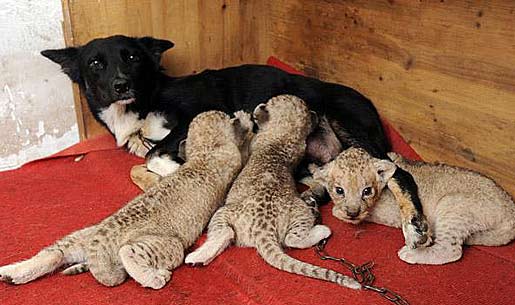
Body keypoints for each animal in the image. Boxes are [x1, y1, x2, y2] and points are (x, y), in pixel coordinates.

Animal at [41, 34, 432, 247]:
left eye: (133, 57)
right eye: (95, 63)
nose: (122, 84)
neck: (145, 101)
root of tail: (370, 105)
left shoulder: (198, 114)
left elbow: (154, 156)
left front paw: (173, 169)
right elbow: (138, 167)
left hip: (349, 126)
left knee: (397, 174)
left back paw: (414, 227)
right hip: (317, 159)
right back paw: (311, 197)